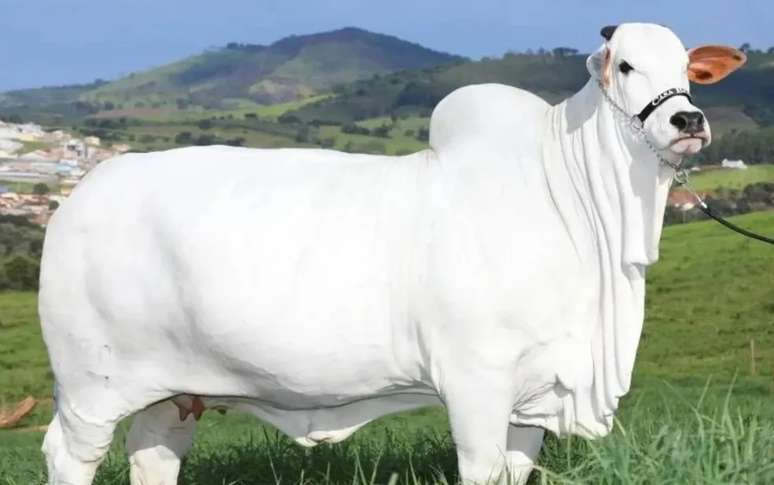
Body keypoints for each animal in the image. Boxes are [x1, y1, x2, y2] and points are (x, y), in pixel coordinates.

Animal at [39, 23, 744, 485]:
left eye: (688, 69)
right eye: (624, 66)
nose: (687, 122)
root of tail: (81, 195)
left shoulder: (535, 393)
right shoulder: (476, 383)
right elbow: (481, 469)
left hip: (173, 392)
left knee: (154, 454)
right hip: (90, 387)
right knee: (68, 456)